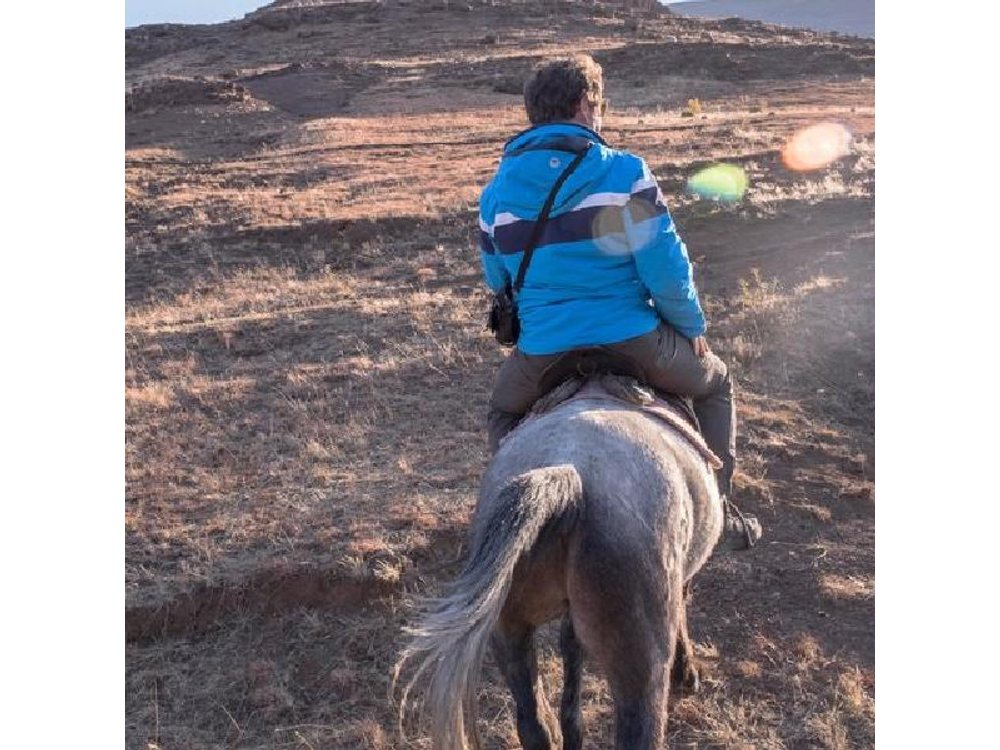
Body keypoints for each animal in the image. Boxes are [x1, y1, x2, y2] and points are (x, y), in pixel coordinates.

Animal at [395, 373, 724, 750]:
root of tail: (569, 476)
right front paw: (686, 672)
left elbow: (571, 649)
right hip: (640, 669)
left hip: (508, 634)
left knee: (533, 723)